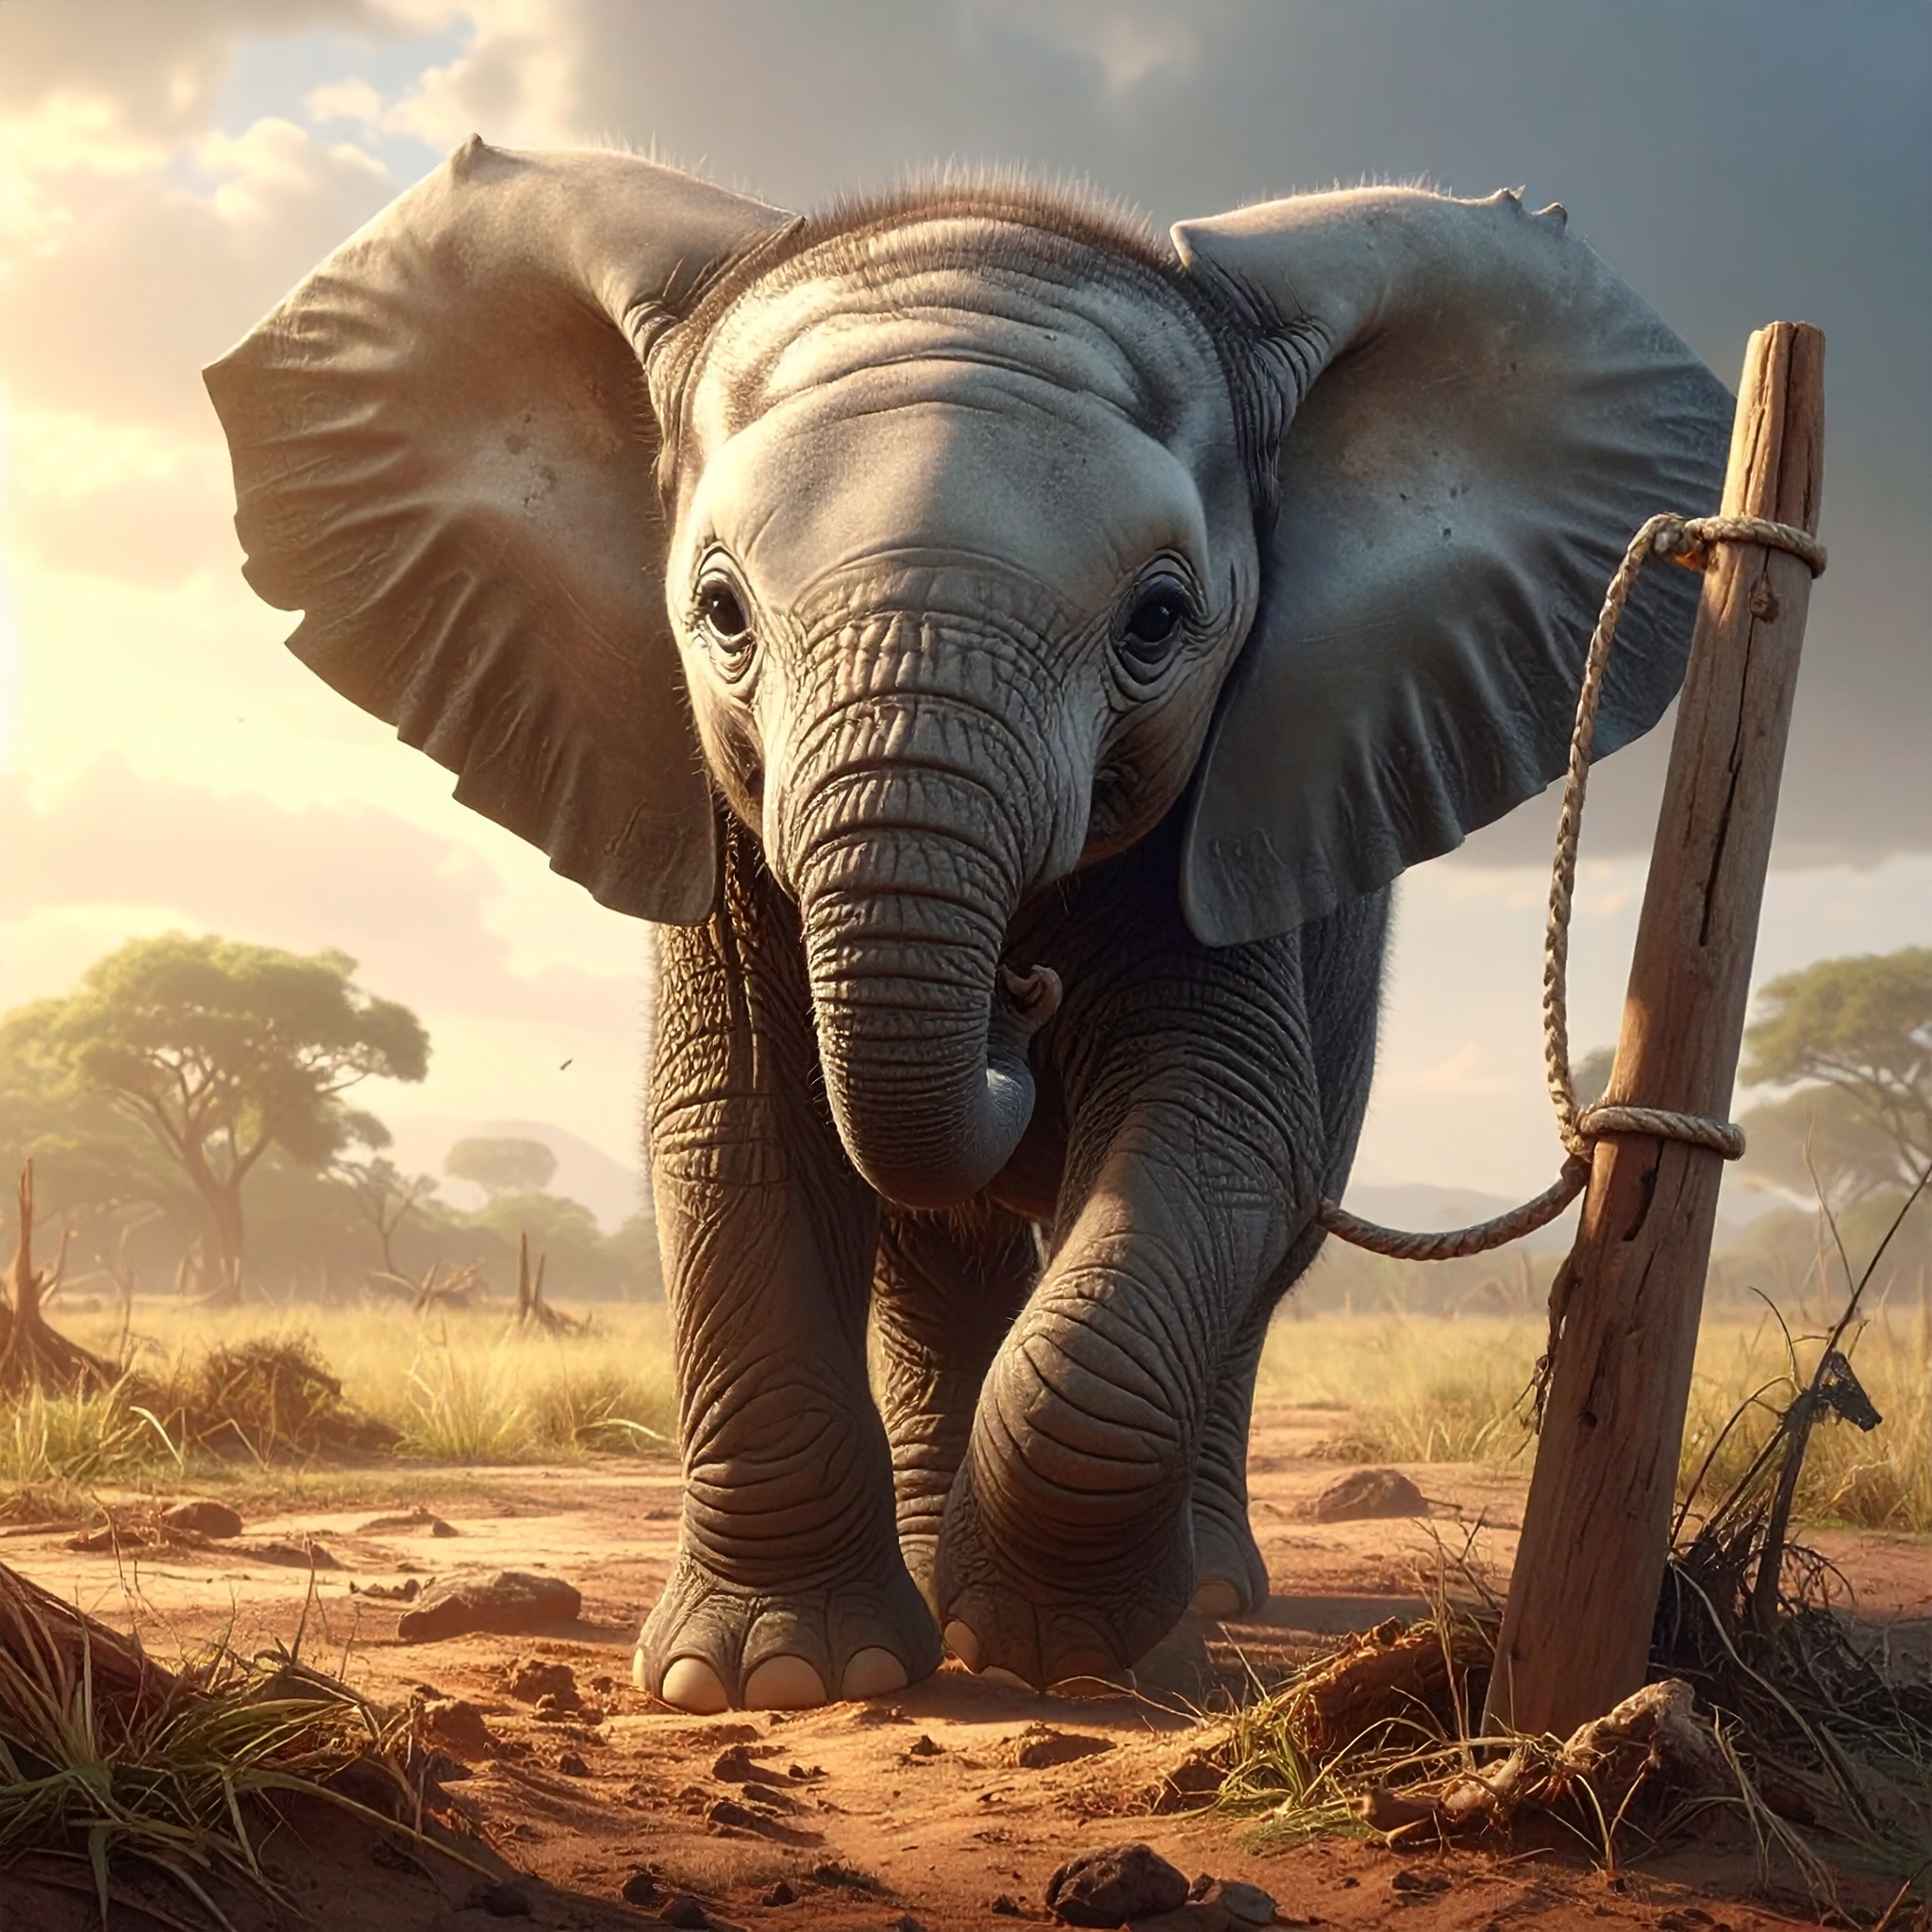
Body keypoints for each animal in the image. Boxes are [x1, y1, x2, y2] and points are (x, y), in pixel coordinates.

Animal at [205, 139, 1728, 1712]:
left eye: (1159, 620)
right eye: (719, 612)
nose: (1021, 989)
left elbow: (1216, 1125)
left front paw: (1078, 1657)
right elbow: (739, 1122)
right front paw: (779, 1679)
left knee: (1267, 1245)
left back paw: (1204, 1590)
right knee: (938, 1269)